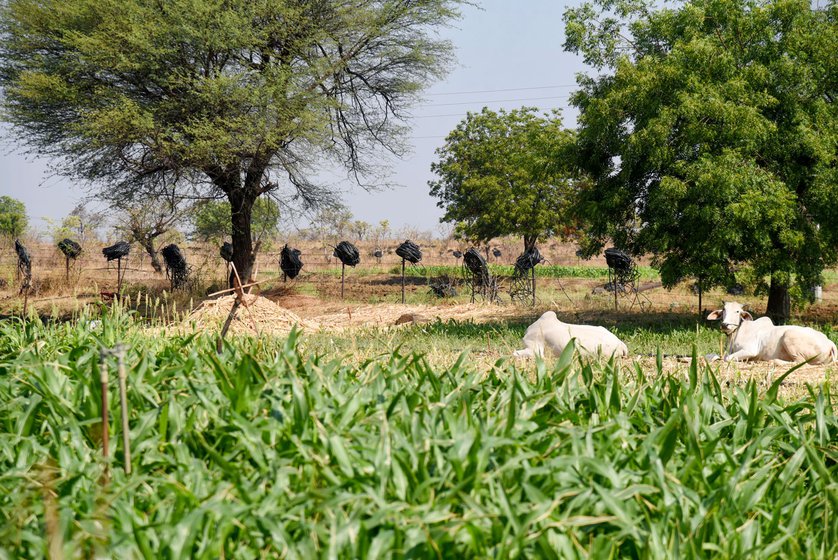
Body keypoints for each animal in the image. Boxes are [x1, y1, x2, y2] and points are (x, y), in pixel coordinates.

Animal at [708, 300, 838, 366]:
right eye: (724, 310)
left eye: (737, 311)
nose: (725, 325)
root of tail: (829, 342)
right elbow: (712, 356)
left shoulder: (750, 350)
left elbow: (727, 358)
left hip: (789, 336)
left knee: (800, 362)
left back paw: (772, 361)